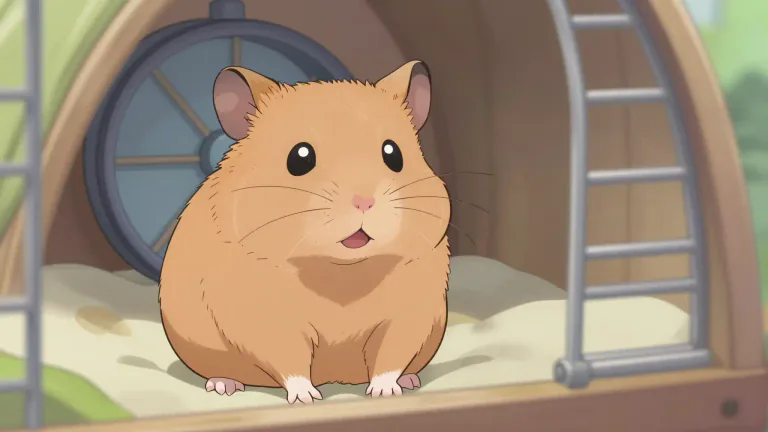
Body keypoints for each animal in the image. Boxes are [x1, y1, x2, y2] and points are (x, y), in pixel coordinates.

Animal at [158, 60, 451, 404]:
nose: (364, 201)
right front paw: (307, 398)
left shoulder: (410, 314)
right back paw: (224, 386)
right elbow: (290, 362)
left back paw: (410, 381)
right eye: (300, 157)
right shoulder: (264, 318)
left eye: (394, 155)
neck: (343, 274)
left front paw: (384, 393)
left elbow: (389, 357)